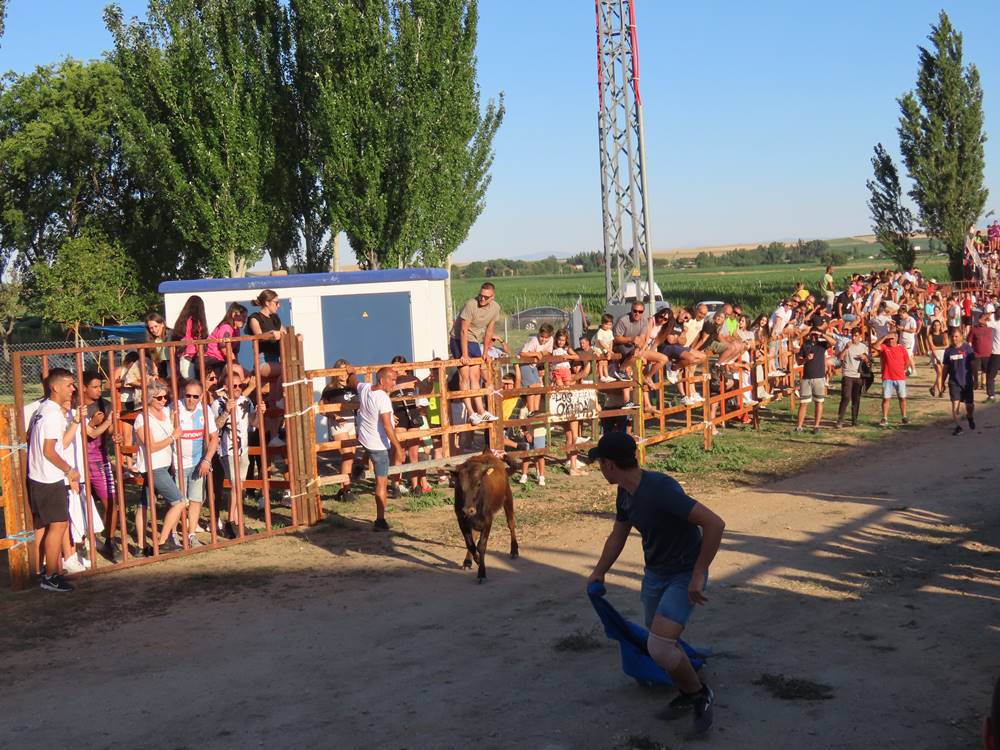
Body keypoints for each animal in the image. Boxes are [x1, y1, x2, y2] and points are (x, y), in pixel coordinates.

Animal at [452, 452, 520, 580]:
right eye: (459, 485)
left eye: (478, 484)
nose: (468, 510)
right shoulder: (461, 520)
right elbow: (470, 544)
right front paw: (476, 560)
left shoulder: (488, 521)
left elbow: (481, 546)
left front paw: (482, 572)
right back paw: (468, 561)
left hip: (508, 498)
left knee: (511, 524)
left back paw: (514, 550)